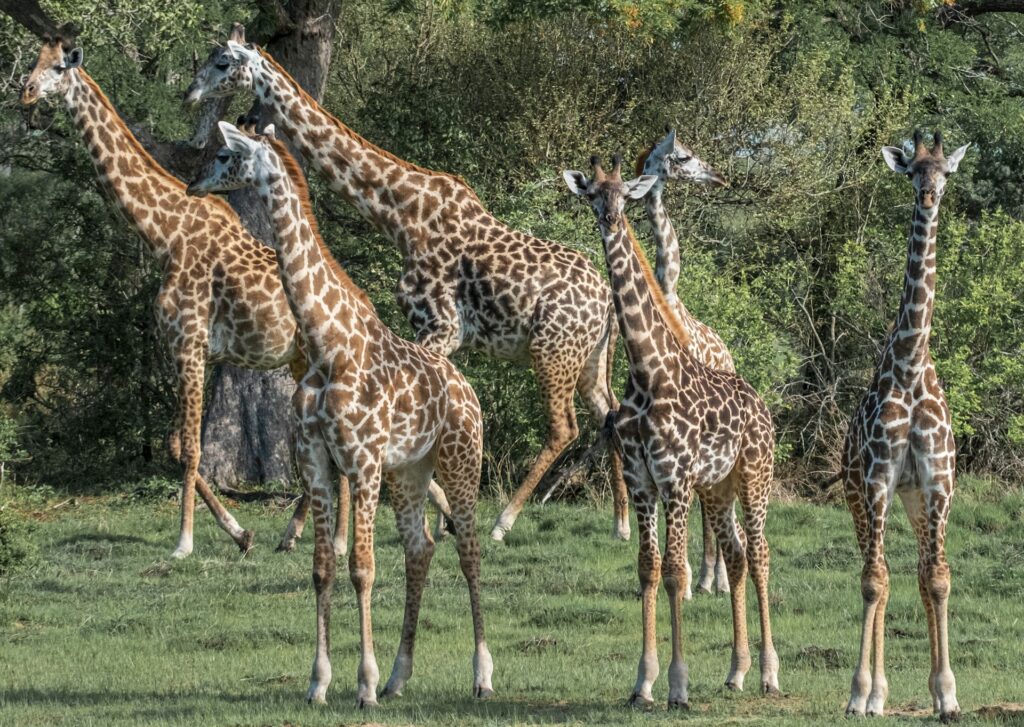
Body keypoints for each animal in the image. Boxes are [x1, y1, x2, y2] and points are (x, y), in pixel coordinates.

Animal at [182, 31, 632, 543]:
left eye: (223, 62)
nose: (189, 94)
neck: (399, 214)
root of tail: (606, 303)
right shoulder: (436, 333)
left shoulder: (441, 325)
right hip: (590, 359)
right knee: (609, 413)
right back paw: (621, 524)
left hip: (551, 351)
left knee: (564, 428)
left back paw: (504, 522)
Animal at [187, 120, 493, 706]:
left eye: (225, 154)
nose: (192, 184)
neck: (328, 345)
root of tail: (468, 388)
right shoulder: (318, 463)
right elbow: (323, 567)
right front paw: (320, 682)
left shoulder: (363, 462)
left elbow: (362, 568)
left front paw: (363, 684)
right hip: (410, 470)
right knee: (420, 548)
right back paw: (400, 675)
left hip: (459, 458)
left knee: (468, 549)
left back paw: (481, 675)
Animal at [563, 155, 779, 708]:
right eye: (592, 194)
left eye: (625, 194)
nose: (610, 218)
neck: (647, 371)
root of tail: (763, 406)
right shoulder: (642, 480)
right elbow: (648, 568)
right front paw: (642, 683)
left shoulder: (675, 480)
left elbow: (677, 572)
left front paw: (678, 685)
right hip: (719, 488)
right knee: (737, 554)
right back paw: (736, 671)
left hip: (755, 477)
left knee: (761, 555)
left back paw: (769, 673)